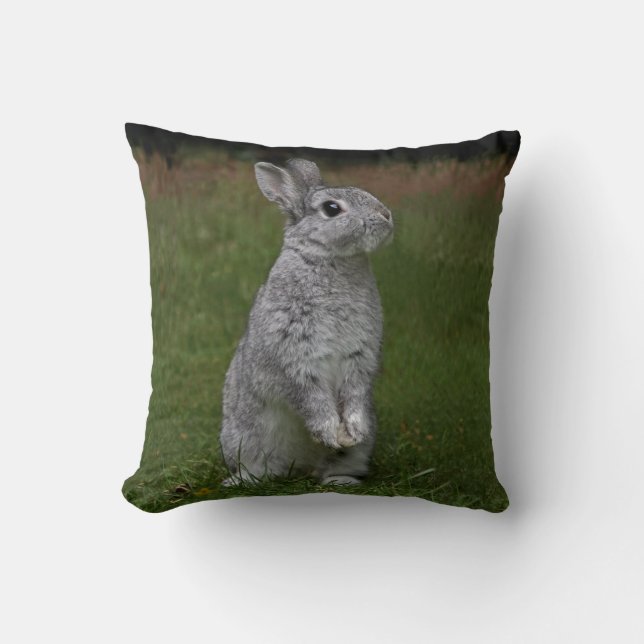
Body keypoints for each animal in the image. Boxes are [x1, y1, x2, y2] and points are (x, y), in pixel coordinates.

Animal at [219, 158, 393, 486]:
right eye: (332, 209)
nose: (386, 215)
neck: (332, 258)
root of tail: (300, 467)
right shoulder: (295, 355)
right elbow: (311, 398)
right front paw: (330, 433)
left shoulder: (359, 357)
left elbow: (354, 392)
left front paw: (352, 432)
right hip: (246, 438)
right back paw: (244, 481)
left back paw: (340, 480)